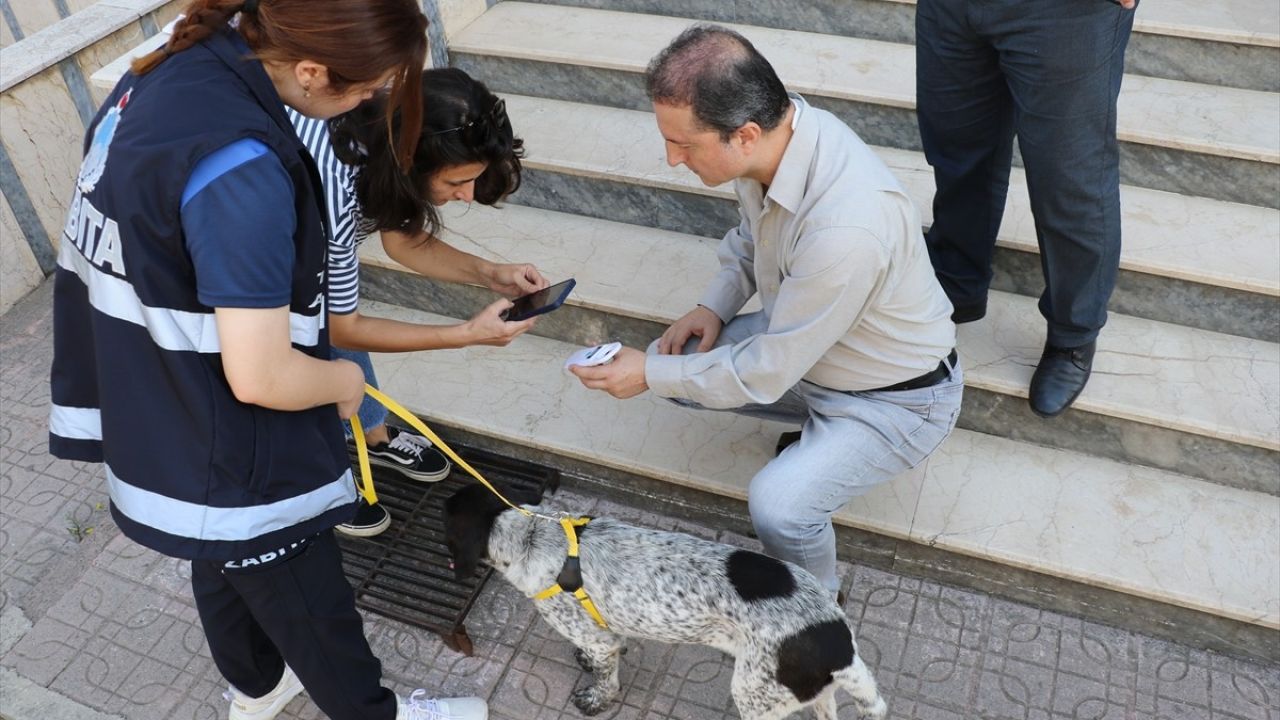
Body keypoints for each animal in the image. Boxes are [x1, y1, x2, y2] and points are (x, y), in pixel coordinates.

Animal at [445, 481, 885, 717]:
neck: (532, 536)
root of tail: (840, 644)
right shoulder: (603, 634)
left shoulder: (595, 638)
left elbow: (605, 679)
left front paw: (596, 699)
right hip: (814, 696)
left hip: (755, 696)